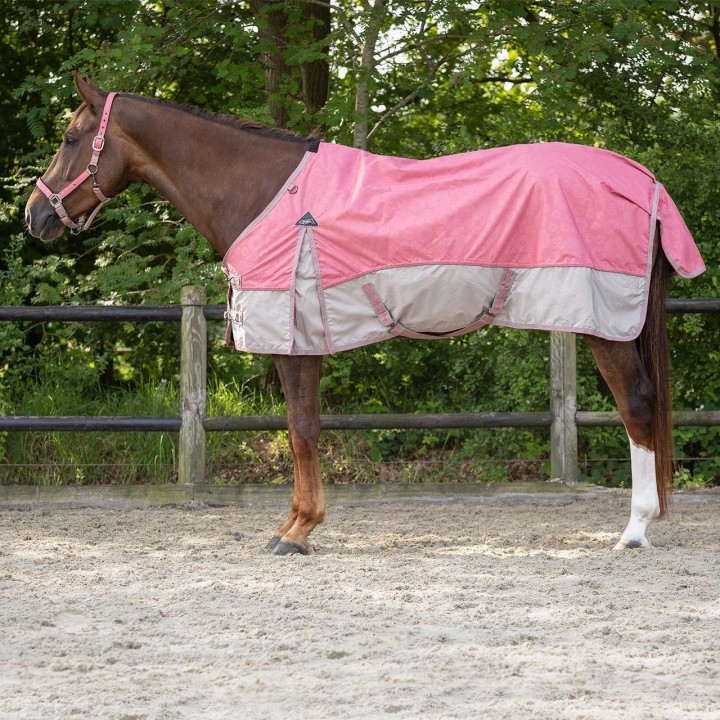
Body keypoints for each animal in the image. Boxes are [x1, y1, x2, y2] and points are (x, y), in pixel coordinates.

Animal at [25, 75, 705, 555]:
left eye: (70, 139)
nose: (35, 217)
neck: (265, 193)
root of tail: (641, 179)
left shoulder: (295, 339)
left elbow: (301, 429)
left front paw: (298, 532)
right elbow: (300, 430)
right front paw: (291, 524)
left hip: (603, 324)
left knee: (636, 406)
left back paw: (634, 530)